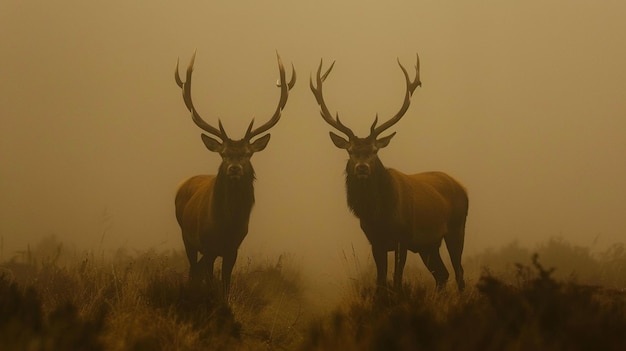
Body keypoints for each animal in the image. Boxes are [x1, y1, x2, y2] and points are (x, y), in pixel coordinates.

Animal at [173, 52, 294, 300]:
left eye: (247, 154)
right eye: (224, 154)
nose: (235, 168)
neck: (226, 225)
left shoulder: (233, 248)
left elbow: (226, 283)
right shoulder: (208, 245)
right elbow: (210, 281)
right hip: (186, 236)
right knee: (193, 269)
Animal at [310, 54, 466, 292]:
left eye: (375, 150)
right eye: (350, 151)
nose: (362, 168)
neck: (379, 215)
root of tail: (464, 188)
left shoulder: (404, 237)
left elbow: (397, 280)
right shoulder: (376, 241)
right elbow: (381, 281)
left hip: (457, 229)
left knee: (459, 273)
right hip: (428, 245)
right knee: (442, 274)